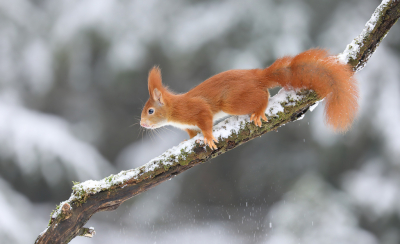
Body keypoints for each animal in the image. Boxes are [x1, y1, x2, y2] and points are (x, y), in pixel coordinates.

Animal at [141, 48, 360, 150]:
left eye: (150, 111)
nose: (142, 124)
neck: (174, 111)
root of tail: (257, 76)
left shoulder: (197, 109)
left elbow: (205, 120)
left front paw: (209, 138)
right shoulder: (189, 126)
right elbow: (192, 133)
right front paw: (191, 140)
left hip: (232, 101)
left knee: (263, 95)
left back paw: (259, 110)